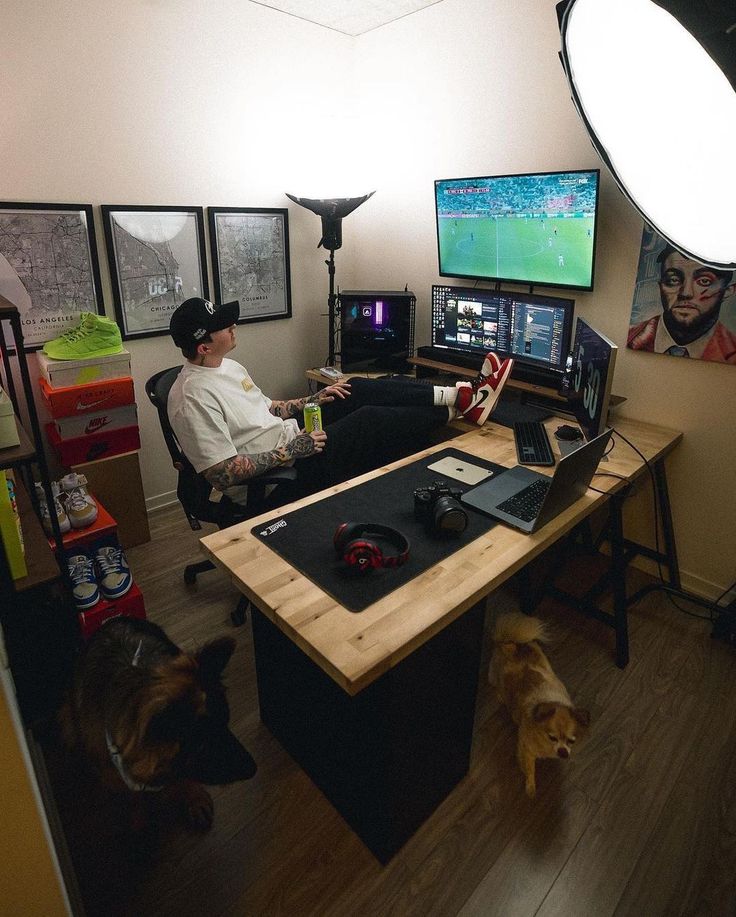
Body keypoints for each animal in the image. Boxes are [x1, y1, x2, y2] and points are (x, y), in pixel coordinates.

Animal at [61, 616, 256, 832]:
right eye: (202, 743)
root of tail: (114, 619)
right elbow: (133, 797)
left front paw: (194, 798)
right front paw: (139, 818)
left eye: (225, 722)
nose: (254, 769)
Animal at [488, 616, 592, 796]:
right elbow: (530, 769)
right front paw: (530, 787)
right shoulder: (526, 749)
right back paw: (501, 697)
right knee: (498, 688)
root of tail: (511, 644)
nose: (563, 752)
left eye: (572, 741)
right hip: (496, 678)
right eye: (552, 737)